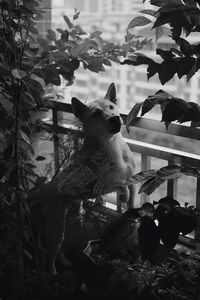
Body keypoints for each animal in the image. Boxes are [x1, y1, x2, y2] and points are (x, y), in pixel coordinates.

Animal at [36, 82, 135, 274]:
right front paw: (124, 195)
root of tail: (46, 189)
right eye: (96, 113)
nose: (115, 118)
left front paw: (133, 210)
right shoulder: (103, 182)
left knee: (62, 246)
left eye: (111, 107)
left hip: (73, 220)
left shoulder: (132, 176)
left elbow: (131, 191)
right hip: (55, 227)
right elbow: (119, 184)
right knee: (51, 253)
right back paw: (53, 272)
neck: (111, 145)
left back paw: (65, 261)